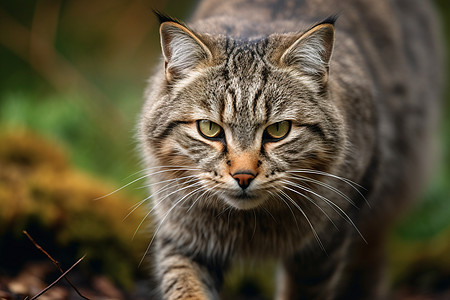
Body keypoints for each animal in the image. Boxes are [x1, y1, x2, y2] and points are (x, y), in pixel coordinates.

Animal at [139, 0, 442, 298]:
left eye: (278, 130)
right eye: (209, 128)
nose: (243, 176)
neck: (250, 225)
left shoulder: (324, 246)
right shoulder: (182, 237)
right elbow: (185, 287)